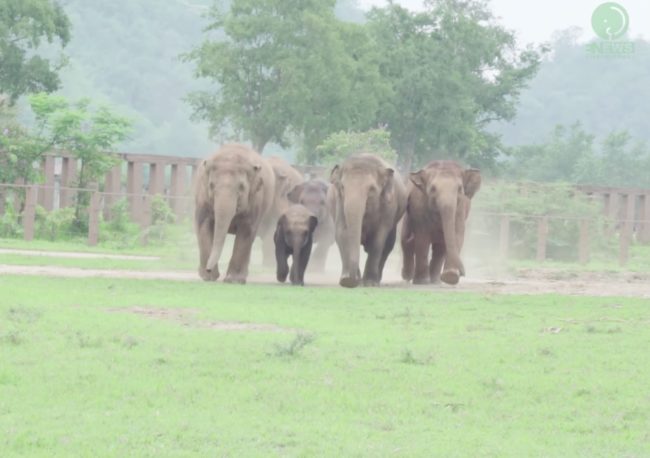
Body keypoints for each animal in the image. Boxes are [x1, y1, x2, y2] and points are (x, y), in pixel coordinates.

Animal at [194, 143, 275, 284]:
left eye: (241, 187)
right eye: (211, 185)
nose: (208, 269)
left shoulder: (256, 199)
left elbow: (246, 229)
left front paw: (233, 280)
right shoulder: (202, 196)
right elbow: (203, 224)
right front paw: (208, 277)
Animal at [328, 154, 407, 288]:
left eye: (371, 189)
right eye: (342, 187)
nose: (351, 280)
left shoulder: (388, 206)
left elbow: (379, 238)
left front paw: (369, 283)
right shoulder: (339, 203)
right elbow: (342, 233)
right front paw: (346, 280)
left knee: (388, 245)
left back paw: (376, 280)